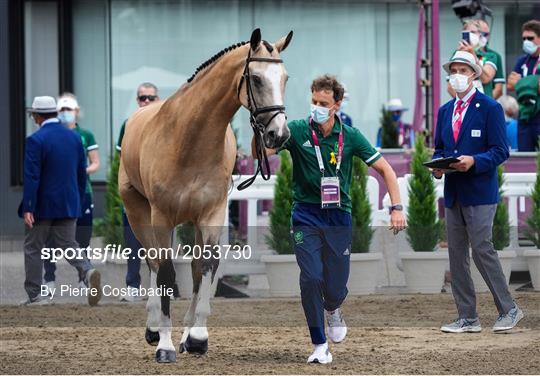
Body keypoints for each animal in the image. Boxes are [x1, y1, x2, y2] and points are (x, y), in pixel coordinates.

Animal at [118, 27, 294, 362]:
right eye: (256, 78)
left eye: (285, 78)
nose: (278, 135)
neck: (189, 139)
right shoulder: (161, 216)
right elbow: (166, 271)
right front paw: (164, 344)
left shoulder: (212, 213)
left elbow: (207, 267)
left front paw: (197, 337)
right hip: (138, 212)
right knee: (152, 261)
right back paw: (153, 327)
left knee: (194, 268)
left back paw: (185, 335)